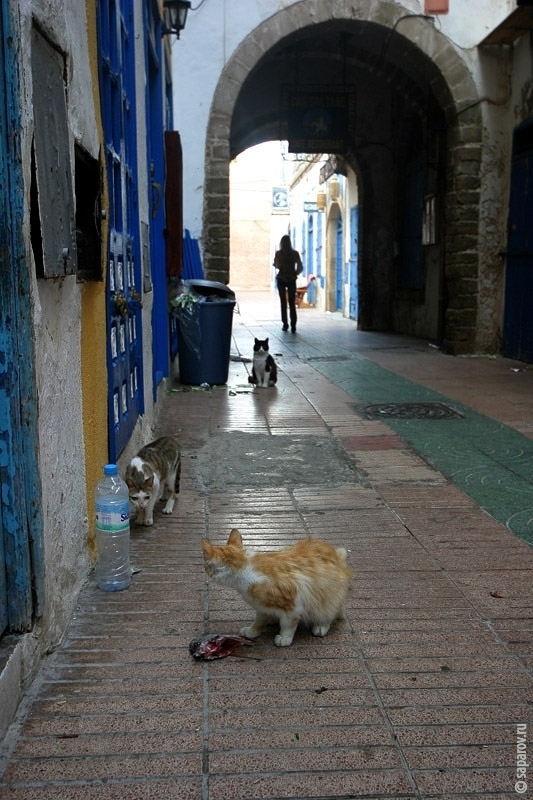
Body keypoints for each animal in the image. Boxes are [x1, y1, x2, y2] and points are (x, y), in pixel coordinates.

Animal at [202, 528, 352, 648]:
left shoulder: (293, 603)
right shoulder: (261, 605)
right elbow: (259, 619)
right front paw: (253, 630)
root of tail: (338, 556)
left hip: (328, 597)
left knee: (331, 612)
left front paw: (284, 638)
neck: (245, 569)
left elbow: (288, 624)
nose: (204, 570)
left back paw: (321, 626)